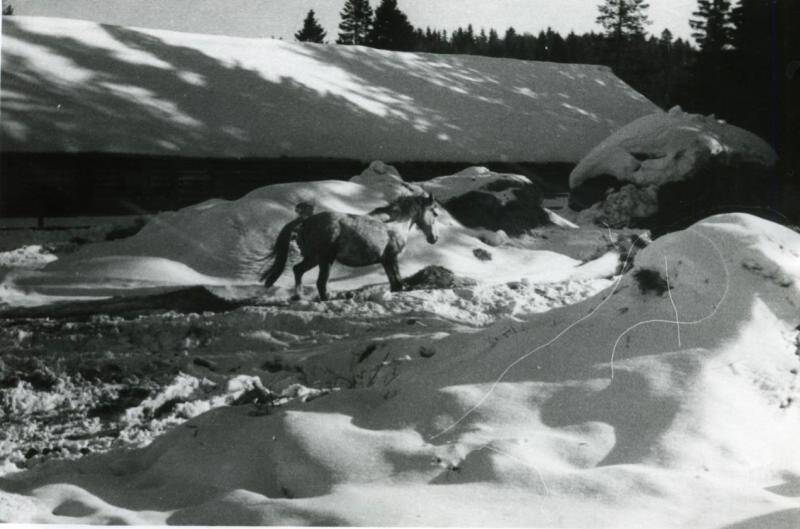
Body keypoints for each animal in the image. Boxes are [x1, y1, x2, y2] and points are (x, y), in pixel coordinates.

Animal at [260, 193, 438, 302]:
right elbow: (398, 283)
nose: (434, 238)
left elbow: (394, 285)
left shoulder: (385, 261)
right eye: (435, 213)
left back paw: (299, 297)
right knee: (320, 283)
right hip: (325, 260)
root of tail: (305, 222)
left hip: (314, 258)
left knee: (298, 270)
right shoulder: (391, 258)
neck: (394, 225)